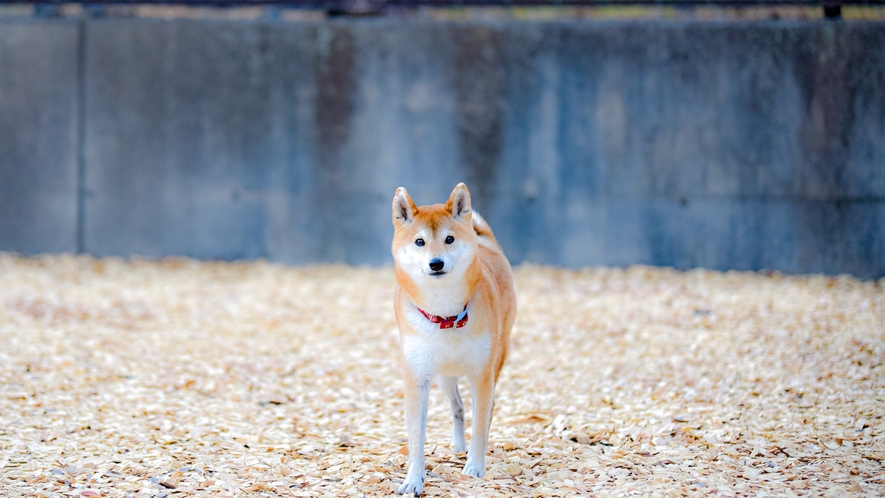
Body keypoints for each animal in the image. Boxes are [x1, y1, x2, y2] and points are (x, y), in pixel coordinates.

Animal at [390, 184, 516, 498]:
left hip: (495, 360)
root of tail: (487, 244)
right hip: (445, 376)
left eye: (449, 239)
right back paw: (459, 446)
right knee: (457, 407)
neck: (445, 315)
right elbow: (416, 437)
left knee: (483, 411)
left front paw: (474, 468)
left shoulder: (482, 375)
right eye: (420, 242)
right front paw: (414, 479)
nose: (436, 263)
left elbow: (480, 425)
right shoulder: (417, 378)